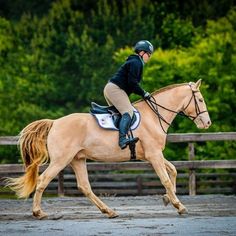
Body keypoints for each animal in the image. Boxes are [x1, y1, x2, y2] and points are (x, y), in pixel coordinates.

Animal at [6, 79, 211, 219]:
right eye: (200, 100)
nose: (207, 123)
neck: (154, 115)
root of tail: (55, 122)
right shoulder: (154, 155)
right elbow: (166, 179)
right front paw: (179, 205)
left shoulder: (152, 155)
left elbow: (173, 171)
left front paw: (168, 199)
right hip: (61, 160)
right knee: (43, 180)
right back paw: (38, 212)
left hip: (77, 159)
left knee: (85, 186)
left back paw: (109, 211)